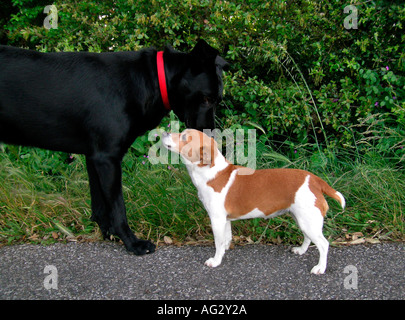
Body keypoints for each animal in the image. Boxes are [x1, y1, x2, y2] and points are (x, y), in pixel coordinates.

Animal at [0, 40, 227, 255]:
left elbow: (100, 207)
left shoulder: (93, 157)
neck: (150, 79)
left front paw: (108, 234)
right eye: (207, 99)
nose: (212, 138)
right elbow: (118, 208)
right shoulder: (107, 158)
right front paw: (132, 243)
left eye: (217, 100)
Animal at [161, 129, 344, 274]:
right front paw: (226, 249)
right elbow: (226, 238)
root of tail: (315, 180)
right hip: (301, 218)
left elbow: (218, 243)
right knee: (308, 237)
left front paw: (216, 260)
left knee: (324, 244)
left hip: (308, 220)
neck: (210, 172)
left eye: (184, 137)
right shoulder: (225, 219)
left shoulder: (216, 219)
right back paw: (301, 250)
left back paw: (320, 268)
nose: (164, 132)